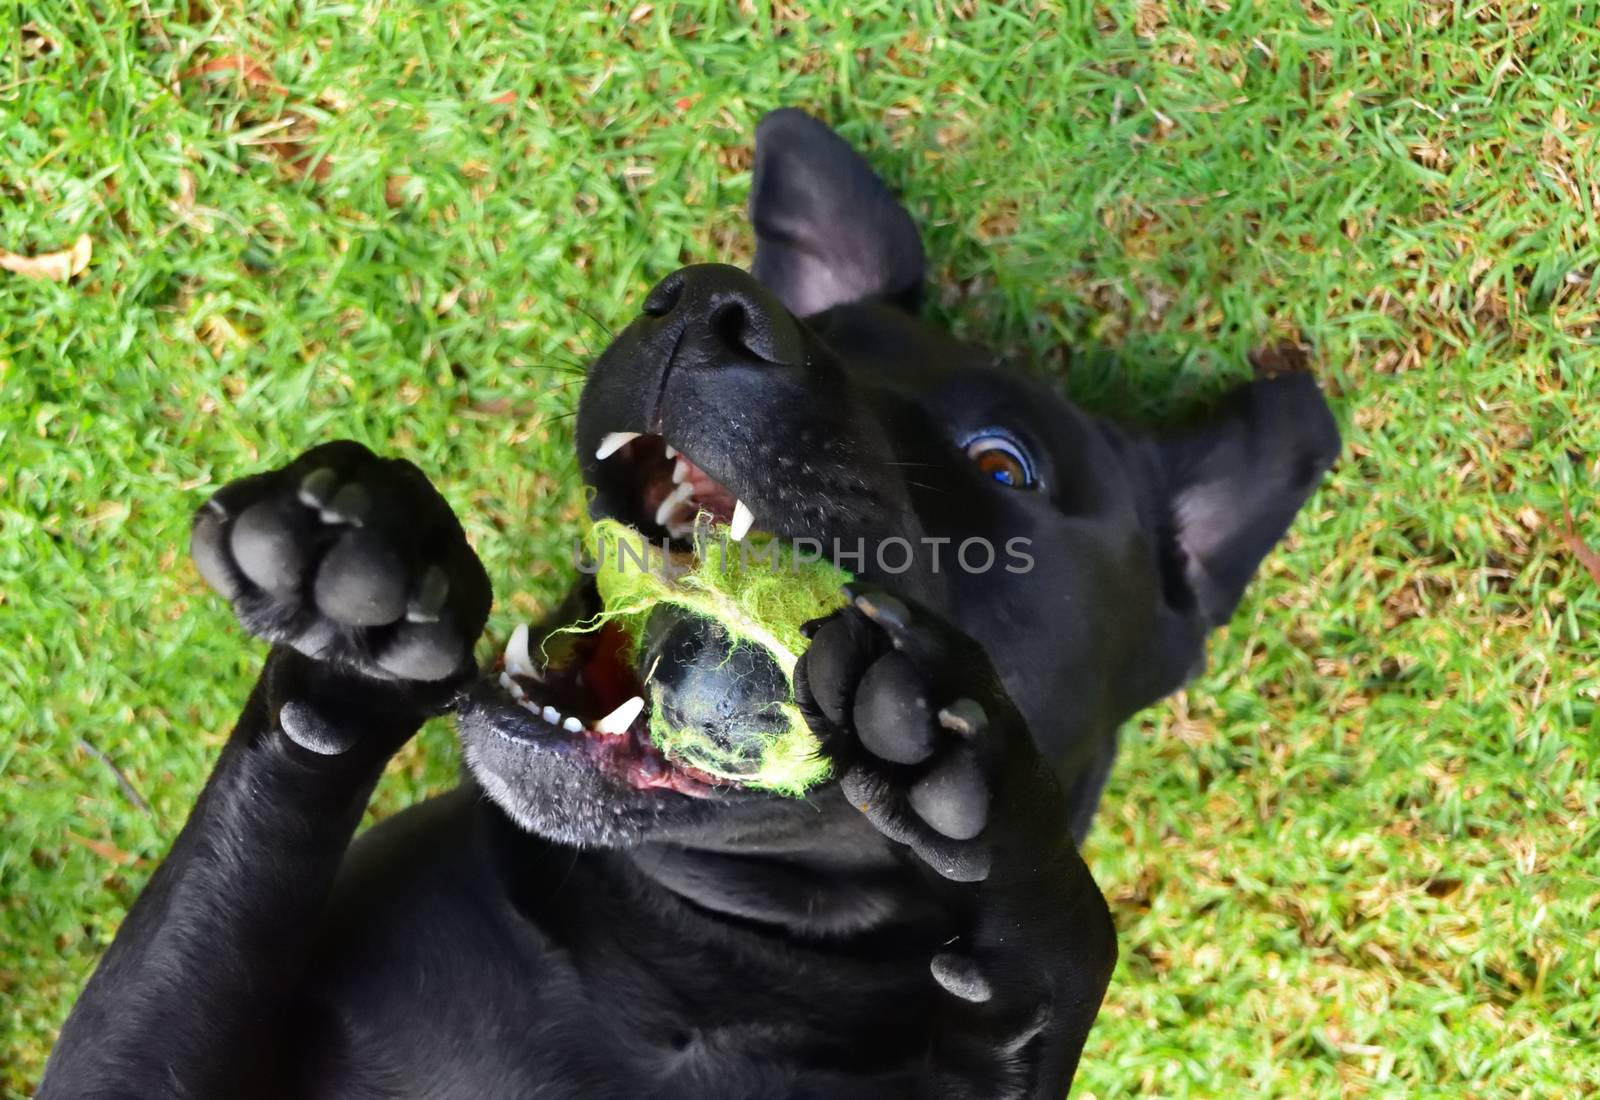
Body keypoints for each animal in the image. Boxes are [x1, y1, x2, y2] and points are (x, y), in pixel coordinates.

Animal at [40, 107, 1337, 1093]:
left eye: (1002, 463)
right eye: (823, 329)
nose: (710, 303)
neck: (700, 963)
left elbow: (1081, 938)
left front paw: (984, 795)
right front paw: (364, 586)